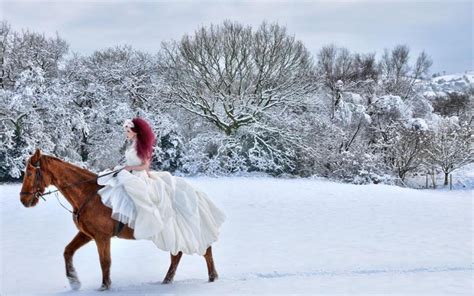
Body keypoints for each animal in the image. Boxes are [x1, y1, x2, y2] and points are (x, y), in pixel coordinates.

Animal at [18, 147, 218, 290]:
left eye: (30, 173)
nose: (23, 200)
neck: (88, 194)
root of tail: (195, 192)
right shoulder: (87, 234)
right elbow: (68, 251)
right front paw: (74, 281)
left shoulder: (101, 237)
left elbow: (105, 262)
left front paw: (105, 286)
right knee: (177, 255)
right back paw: (168, 280)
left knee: (204, 251)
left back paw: (212, 277)